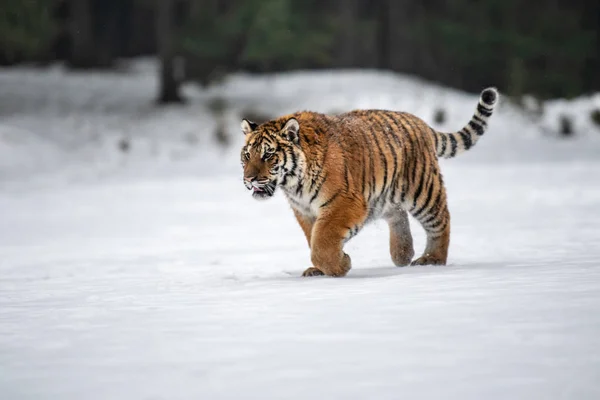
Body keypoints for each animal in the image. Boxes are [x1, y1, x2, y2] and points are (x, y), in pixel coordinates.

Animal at [238, 86, 496, 278]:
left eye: (268, 155)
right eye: (247, 155)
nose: (249, 179)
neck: (294, 184)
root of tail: (418, 120)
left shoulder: (344, 202)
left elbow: (322, 241)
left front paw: (340, 265)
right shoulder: (304, 211)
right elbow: (313, 238)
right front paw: (322, 268)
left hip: (422, 190)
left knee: (441, 222)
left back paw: (431, 260)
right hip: (387, 195)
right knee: (398, 215)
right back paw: (402, 254)